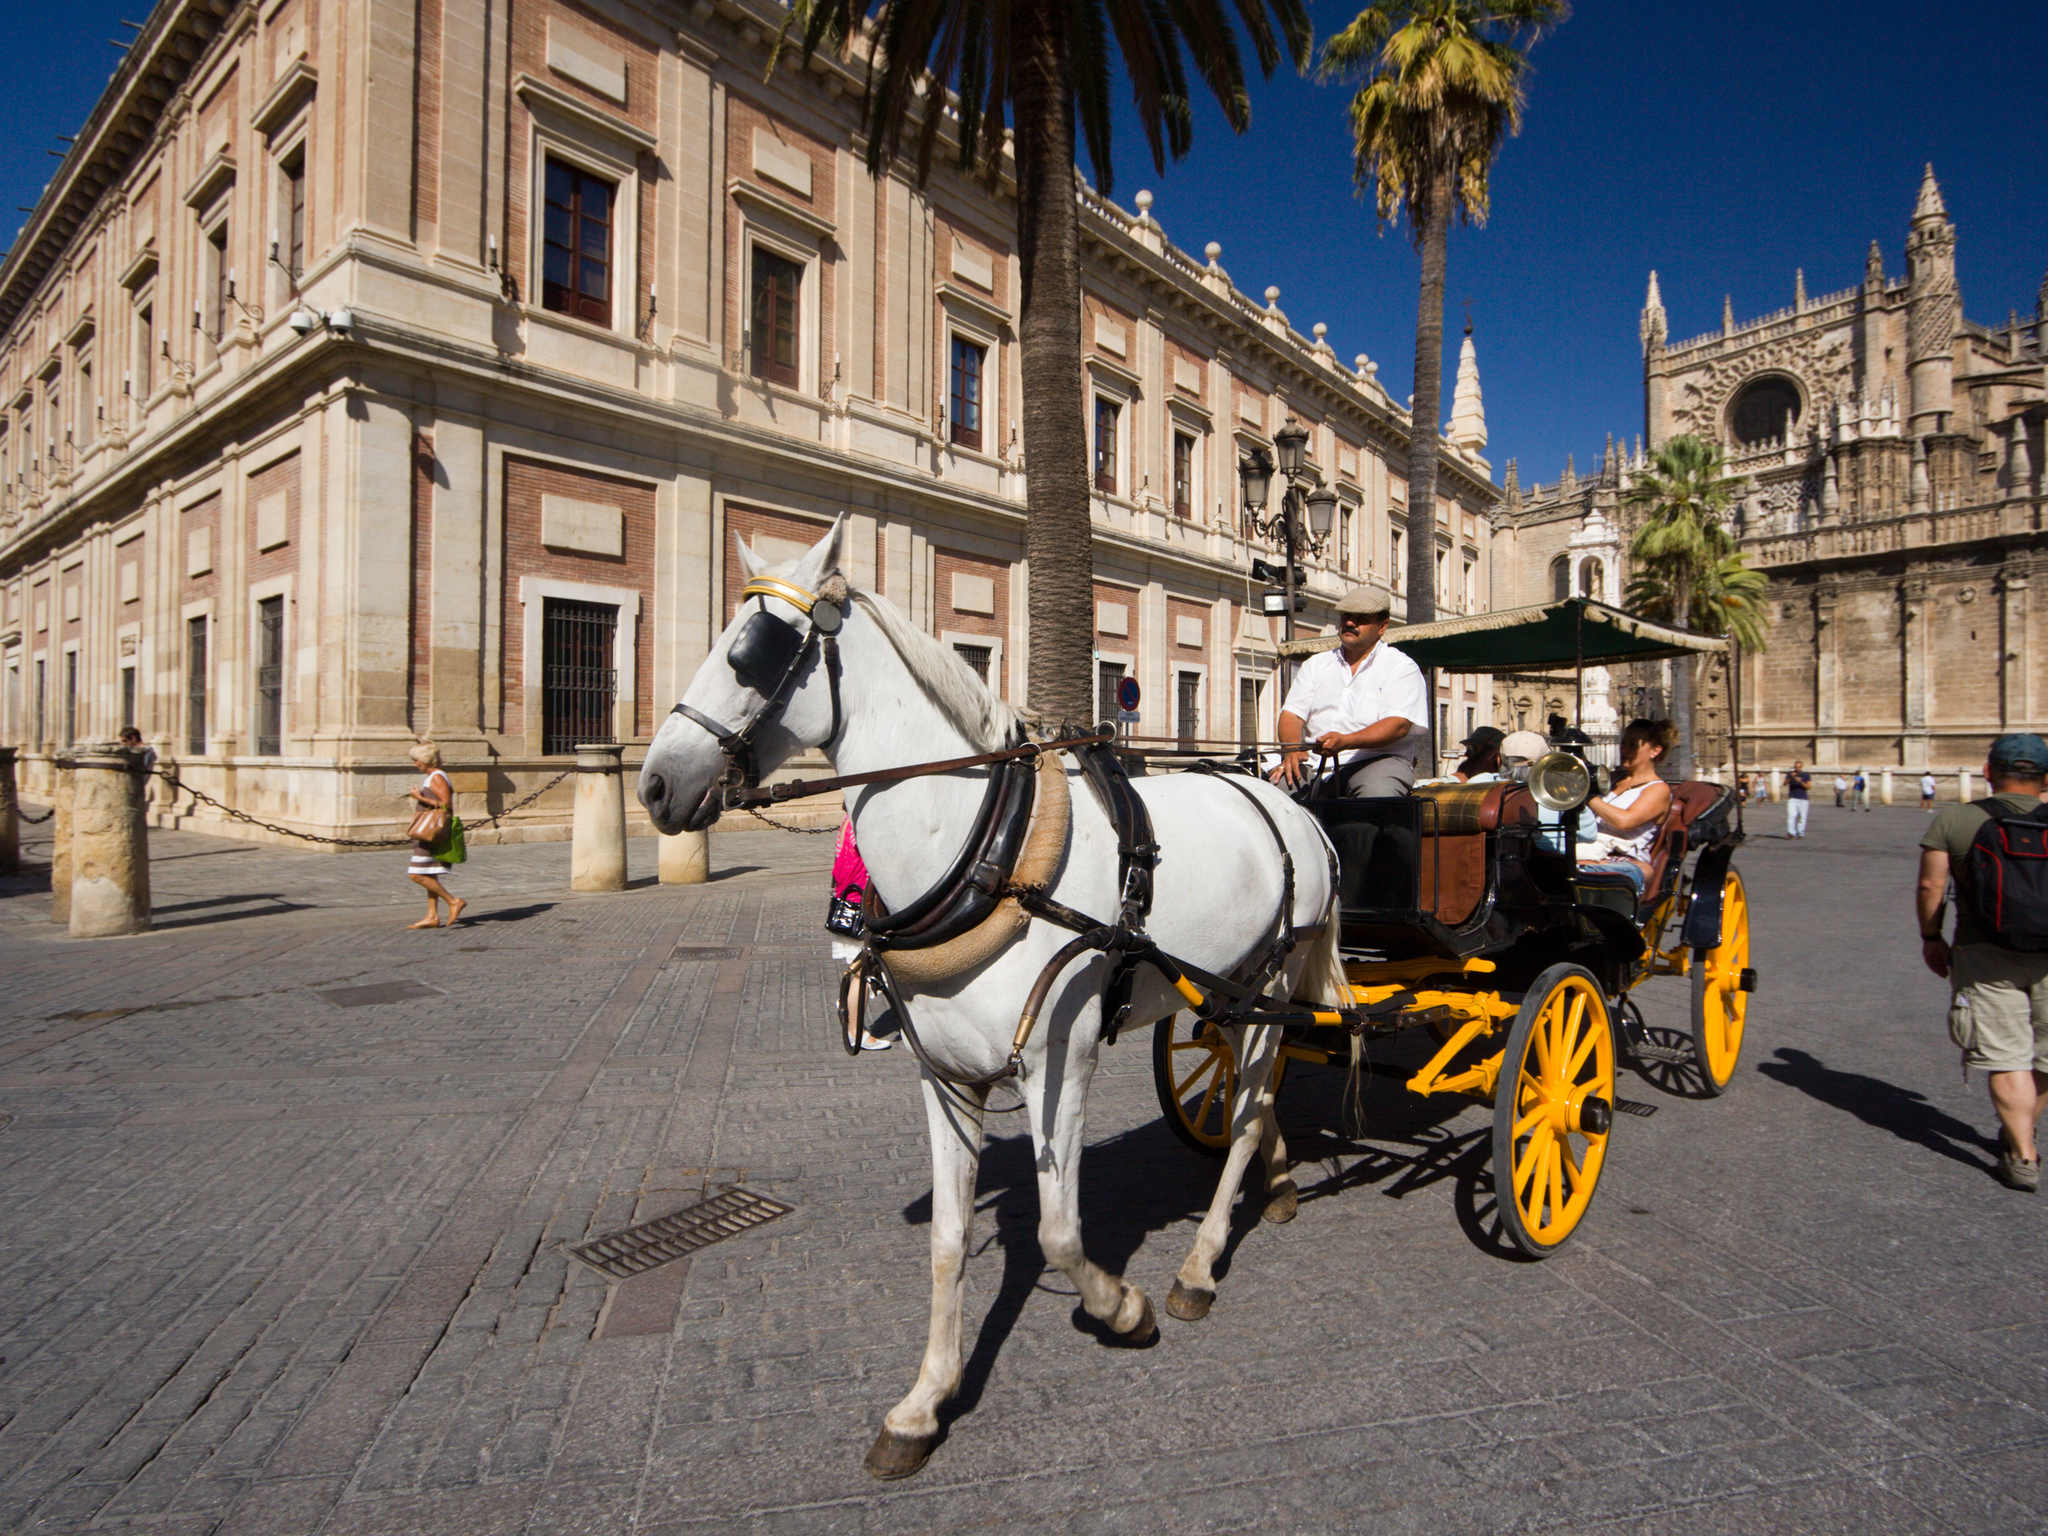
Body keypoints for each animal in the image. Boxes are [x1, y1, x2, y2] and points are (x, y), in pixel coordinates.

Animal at [634, 524, 1343, 1482]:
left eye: (754, 651)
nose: (654, 784)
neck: (991, 855)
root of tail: (1280, 795)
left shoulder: (1059, 1063)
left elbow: (1060, 1233)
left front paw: (1122, 1309)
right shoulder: (945, 1078)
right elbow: (943, 1242)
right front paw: (924, 1402)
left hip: (1272, 976)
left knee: (1247, 1109)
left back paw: (1198, 1266)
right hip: (1229, 996)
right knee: (1249, 1094)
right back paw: (1275, 1185)